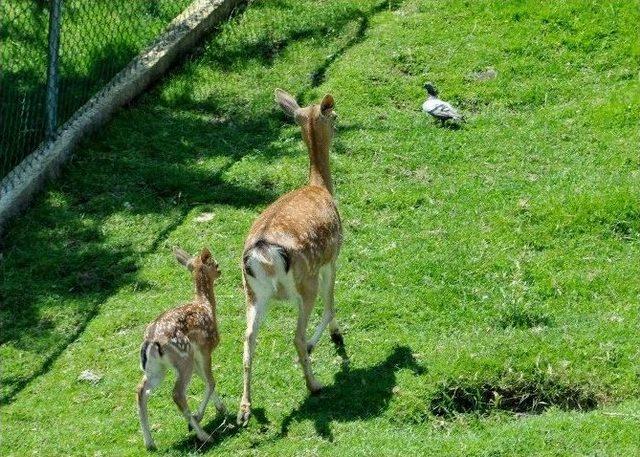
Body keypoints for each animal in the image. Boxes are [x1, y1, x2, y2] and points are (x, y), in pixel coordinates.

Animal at [236, 89, 344, 424]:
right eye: (334, 117)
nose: (340, 123)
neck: (320, 187)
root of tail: (263, 255)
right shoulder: (332, 256)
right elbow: (331, 302)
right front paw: (334, 336)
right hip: (304, 280)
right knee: (295, 335)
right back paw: (314, 384)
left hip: (252, 293)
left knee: (248, 338)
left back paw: (244, 409)